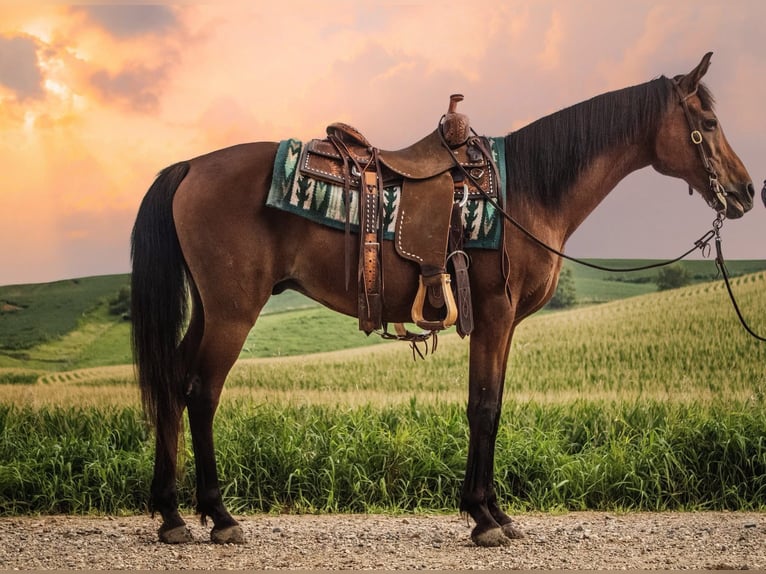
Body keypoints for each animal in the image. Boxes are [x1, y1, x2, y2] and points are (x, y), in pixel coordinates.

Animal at [130, 52, 754, 547]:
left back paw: (171, 514)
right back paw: (218, 516)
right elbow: (484, 406)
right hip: (233, 312)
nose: (747, 191)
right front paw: (482, 518)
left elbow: (491, 405)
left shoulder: (504, 325)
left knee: (173, 384)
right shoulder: (495, 316)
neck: (526, 192)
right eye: (708, 122)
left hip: (209, 310)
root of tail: (191, 166)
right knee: (201, 392)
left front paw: (496, 511)